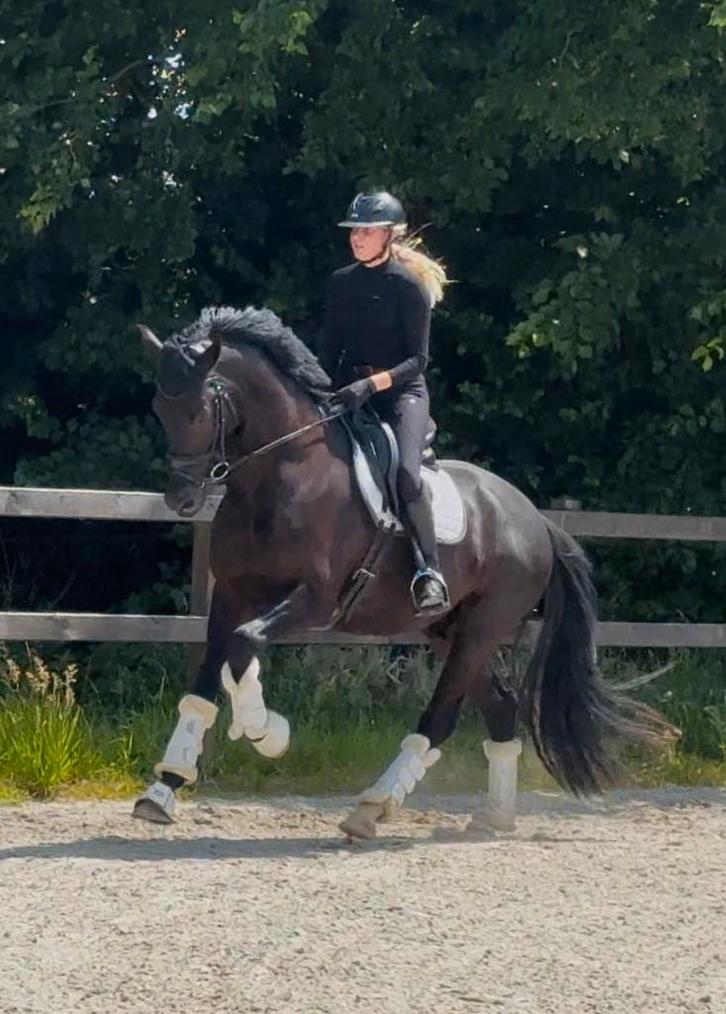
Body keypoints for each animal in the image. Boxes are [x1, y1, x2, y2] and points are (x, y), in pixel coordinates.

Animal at [134, 305, 670, 837]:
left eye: (198, 410)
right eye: (159, 408)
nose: (181, 500)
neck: (282, 474)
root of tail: (537, 520)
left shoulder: (316, 600)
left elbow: (244, 645)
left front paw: (267, 732)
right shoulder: (231, 593)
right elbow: (209, 679)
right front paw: (163, 790)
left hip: (483, 627)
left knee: (440, 718)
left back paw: (372, 808)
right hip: (448, 630)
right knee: (500, 707)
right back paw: (494, 817)